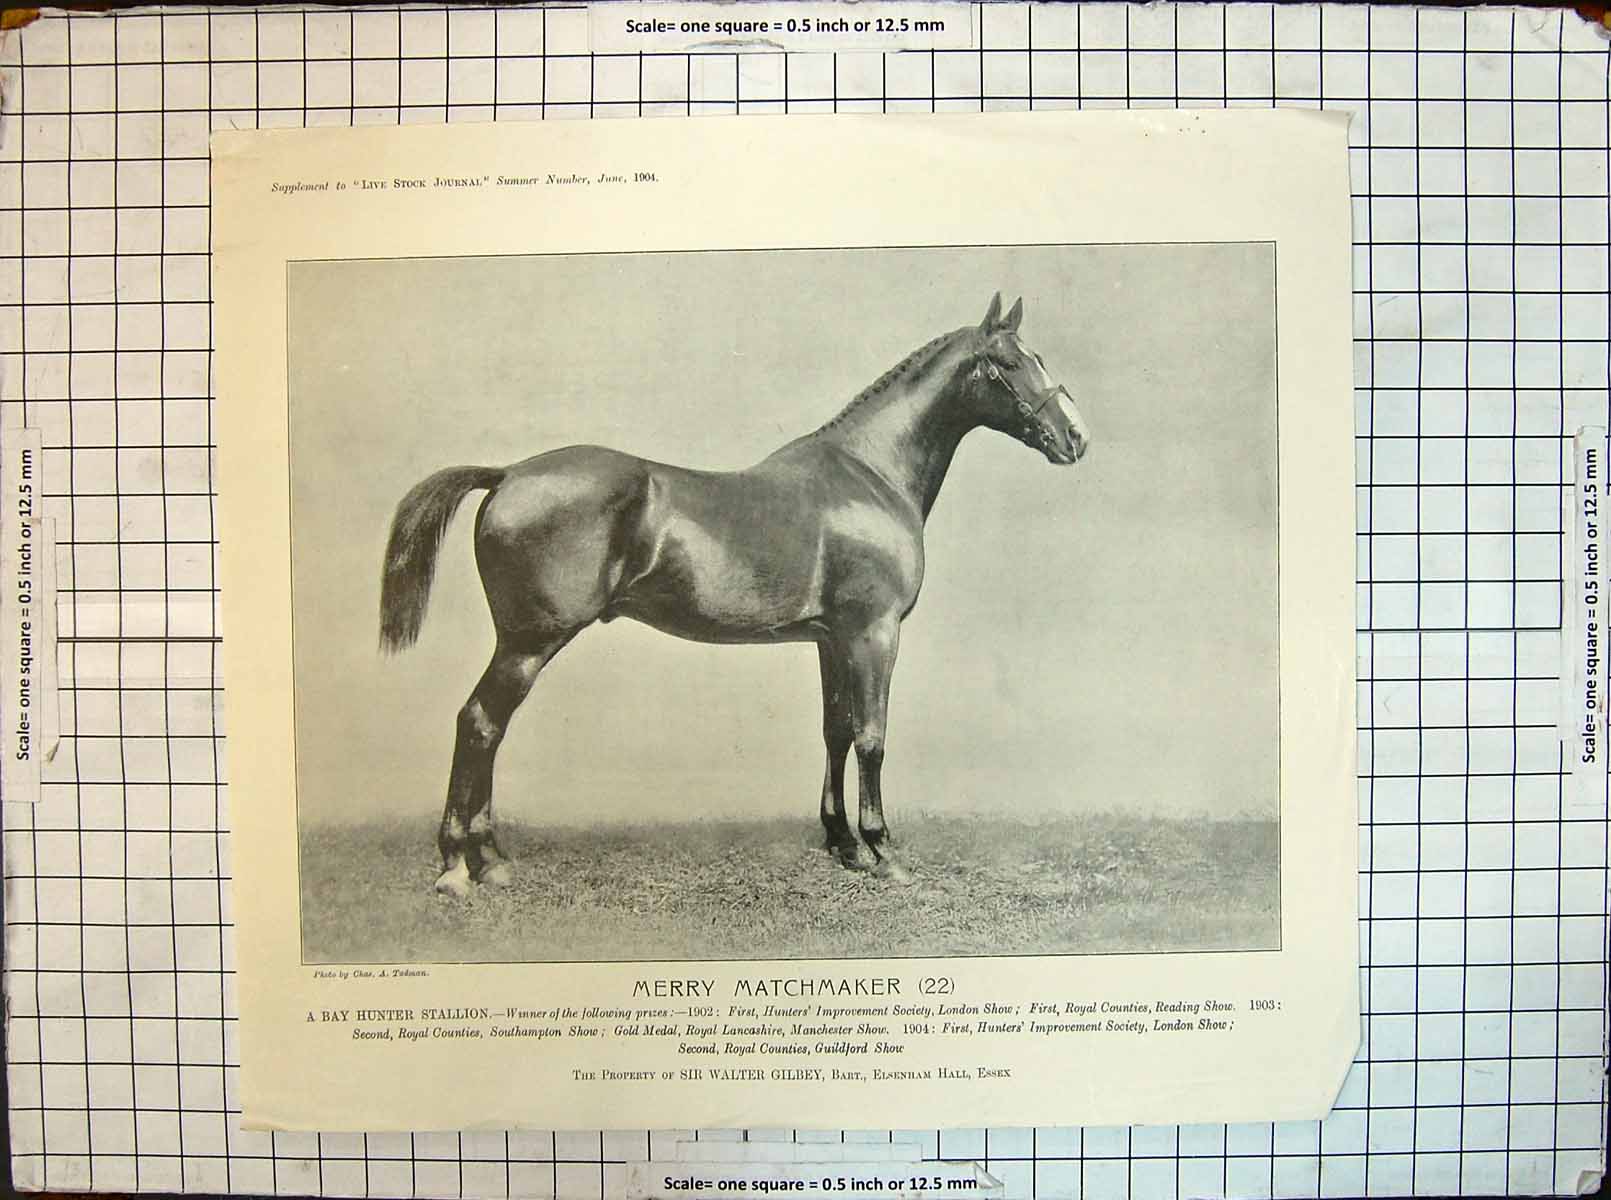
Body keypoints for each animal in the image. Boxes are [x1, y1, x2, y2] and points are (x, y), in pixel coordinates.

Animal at [379, 294, 1090, 896]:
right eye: (1008, 363)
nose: (1076, 437)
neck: (869, 475)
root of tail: (507, 474)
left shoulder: (832, 639)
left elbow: (835, 730)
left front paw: (843, 845)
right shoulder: (874, 632)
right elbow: (872, 736)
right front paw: (883, 850)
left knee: (487, 729)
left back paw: (490, 860)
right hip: (528, 643)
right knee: (479, 723)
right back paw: (459, 868)